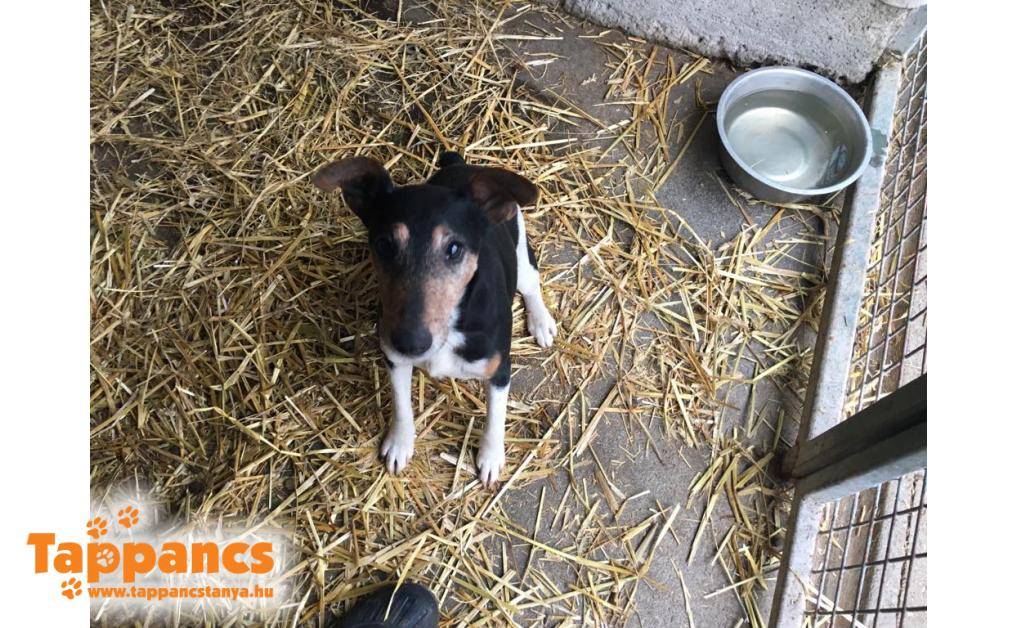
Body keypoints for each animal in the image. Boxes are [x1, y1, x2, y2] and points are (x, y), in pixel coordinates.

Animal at [313, 152, 557, 487]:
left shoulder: (498, 369)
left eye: (454, 248)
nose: (410, 342)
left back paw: (541, 322)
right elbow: (401, 404)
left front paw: (490, 458)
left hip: (522, 259)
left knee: (532, 286)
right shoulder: (394, 359)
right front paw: (400, 444)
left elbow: (495, 417)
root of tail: (462, 164)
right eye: (384, 245)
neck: (450, 328)